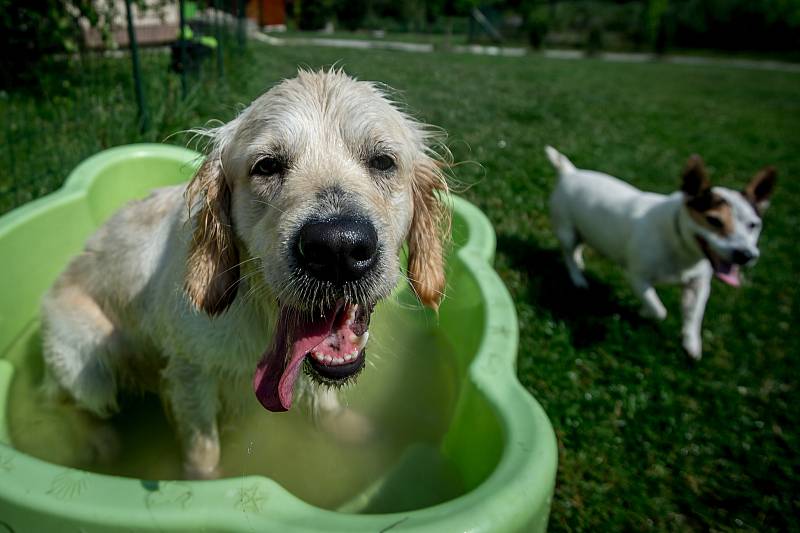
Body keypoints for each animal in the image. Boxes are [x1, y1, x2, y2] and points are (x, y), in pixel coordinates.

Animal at [40, 68, 450, 476]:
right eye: (267, 165)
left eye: (383, 161)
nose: (338, 249)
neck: (264, 314)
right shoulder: (190, 370)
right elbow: (203, 447)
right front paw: (201, 481)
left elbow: (326, 401)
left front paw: (345, 427)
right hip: (86, 356)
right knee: (66, 400)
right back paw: (99, 439)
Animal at [544, 148, 776, 360]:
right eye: (714, 221)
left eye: (753, 225)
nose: (746, 255)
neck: (680, 242)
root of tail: (569, 172)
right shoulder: (638, 277)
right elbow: (658, 309)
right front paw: (644, 312)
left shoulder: (697, 285)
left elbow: (694, 316)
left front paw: (691, 344)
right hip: (566, 230)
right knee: (568, 253)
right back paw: (578, 278)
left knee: (578, 247)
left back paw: (580, 262)